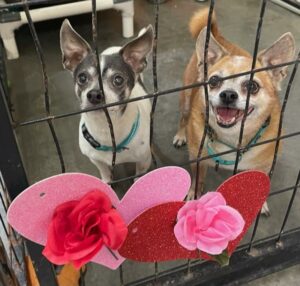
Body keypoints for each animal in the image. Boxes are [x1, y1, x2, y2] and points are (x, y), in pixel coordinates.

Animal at [173, 7, 296, 214]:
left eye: (253, 86)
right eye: (214, 81)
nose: (228, 94)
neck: (232, 139)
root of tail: (218, 36)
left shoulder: (263, 166)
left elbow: (260, 182)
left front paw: (260, 201)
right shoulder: (198, 159)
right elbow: (198, 178)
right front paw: (194, 194)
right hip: (186, 100)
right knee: (183, 118)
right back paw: (181, 135)